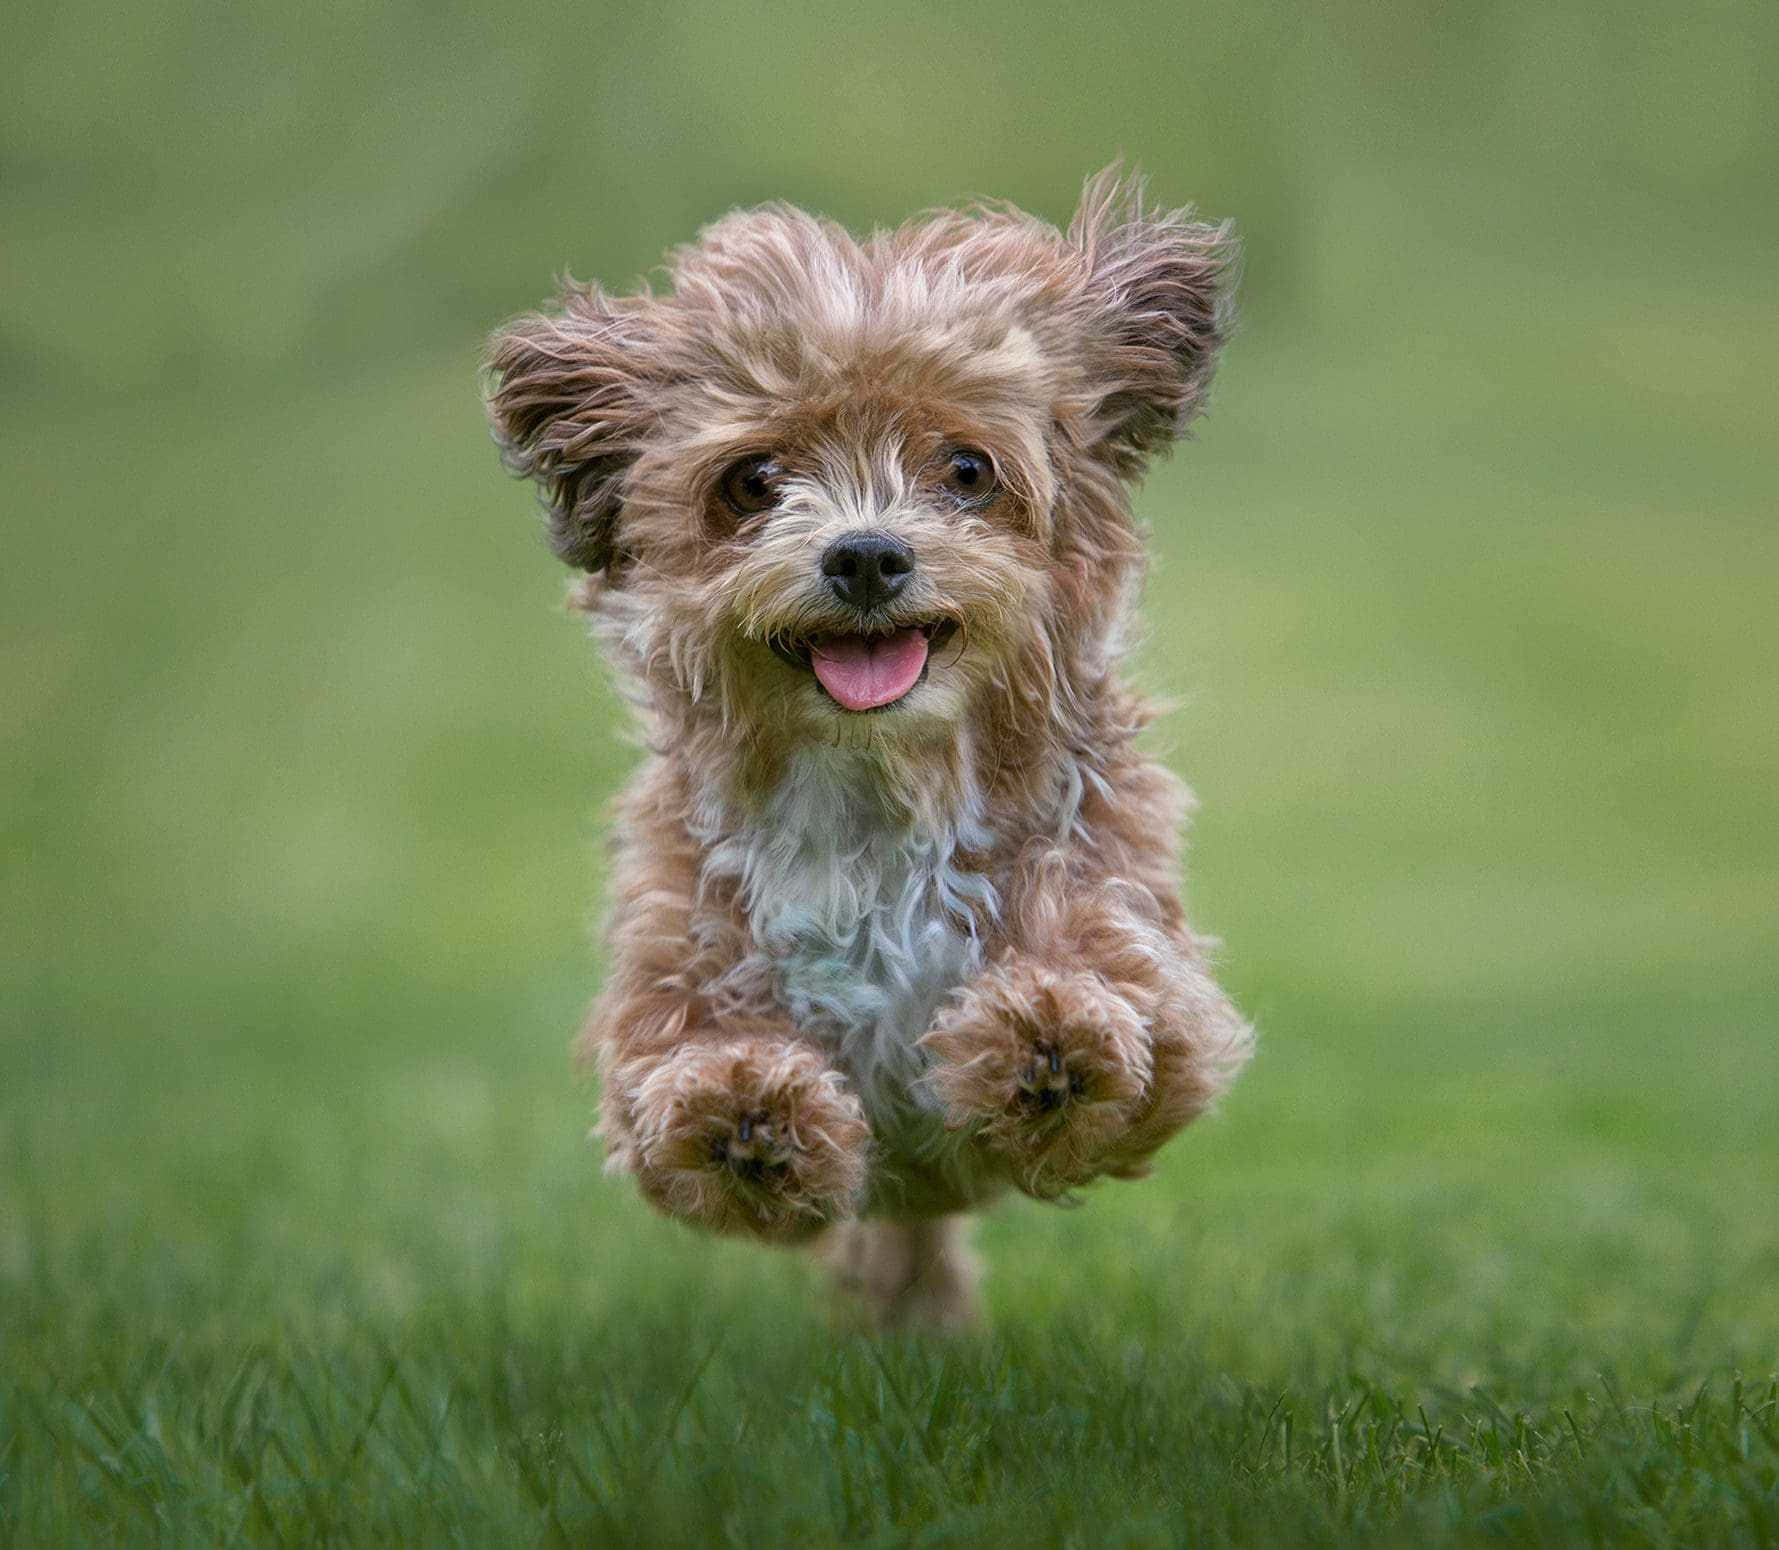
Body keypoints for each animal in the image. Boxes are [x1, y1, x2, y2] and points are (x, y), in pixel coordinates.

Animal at [487, 169, 1259, 1323]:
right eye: (753, 479)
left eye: (969, 469)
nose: (864, 554)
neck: (875, 785)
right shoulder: (668, 983)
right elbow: (682, 1085)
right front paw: (746, 1113)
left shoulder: (1149, 963)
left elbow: (1115, 997)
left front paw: (1047, 1037)